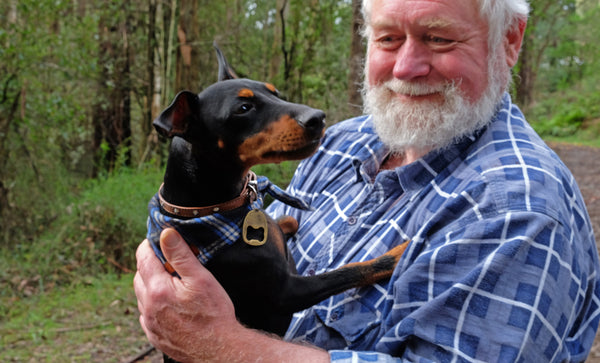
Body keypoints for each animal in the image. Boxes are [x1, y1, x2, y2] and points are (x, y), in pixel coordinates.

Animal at [146, 45, 408, 346]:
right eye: (243, 109)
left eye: (276, 93)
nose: (318, 118)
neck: (213, 209)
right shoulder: (288, 293)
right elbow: (352, 270)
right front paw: (398, 254)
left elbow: (287, 221)